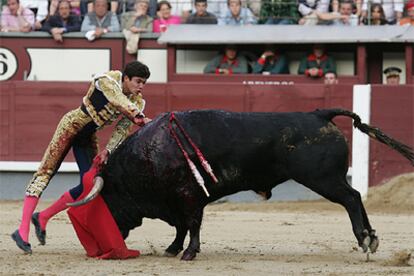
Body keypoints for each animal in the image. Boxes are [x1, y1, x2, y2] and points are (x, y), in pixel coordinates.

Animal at [94, 108, 414, 260]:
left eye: (106, 200)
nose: (111, 237)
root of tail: (318, 113)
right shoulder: (177, 201)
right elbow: (182, 226)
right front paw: (173, 249)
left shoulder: (189, 196)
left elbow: (191, 224)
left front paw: (188, 253)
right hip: (327, 179)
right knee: (356, 196)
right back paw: (371, 238)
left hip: (323, 179)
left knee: (351, 197)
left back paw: (364, 238)